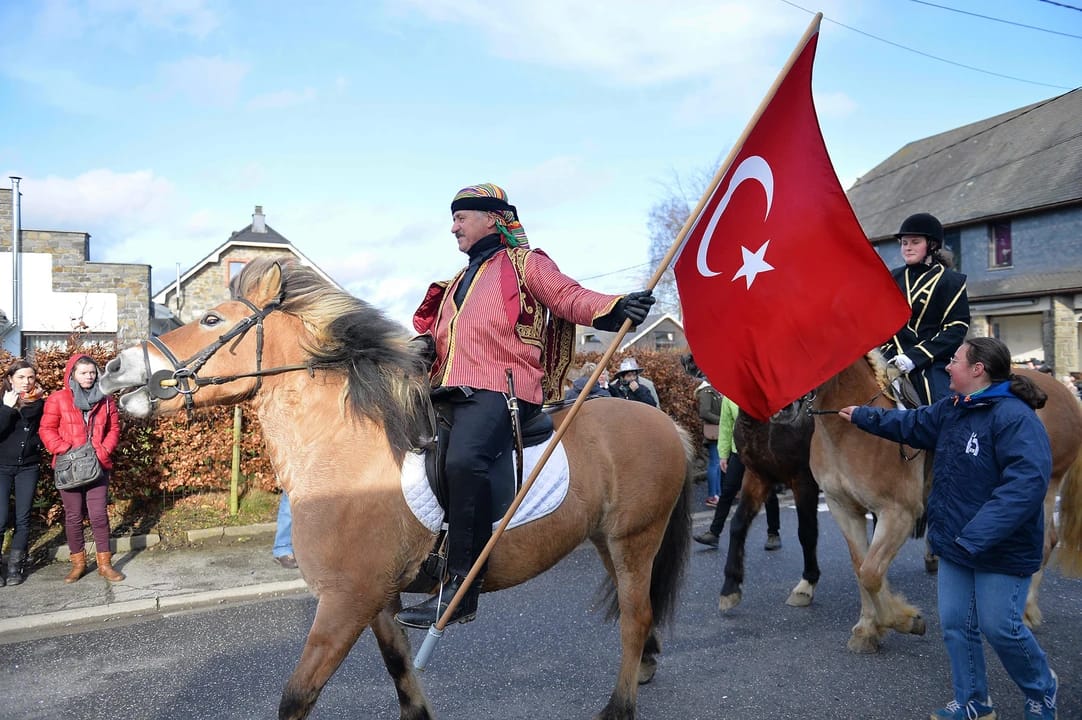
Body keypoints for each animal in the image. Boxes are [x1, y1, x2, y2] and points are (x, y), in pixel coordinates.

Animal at [99, 258, 692, 718]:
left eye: (211, 319)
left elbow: (297, 696)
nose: (113, 369)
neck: (343, 445)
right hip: (609, 540)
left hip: (635, 538)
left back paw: (619, 706)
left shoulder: (345, 601)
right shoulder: (376, 598)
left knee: (635, 617)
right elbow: (400, 668)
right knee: (636, 608)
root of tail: (667, 423)